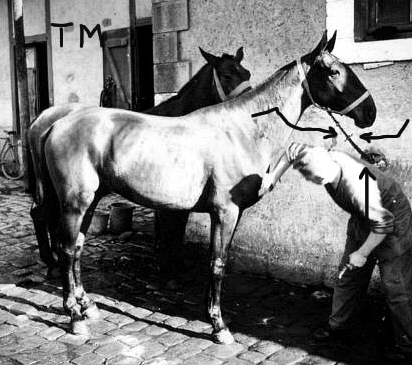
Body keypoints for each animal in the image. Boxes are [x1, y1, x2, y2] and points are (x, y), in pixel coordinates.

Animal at [29, 47, 251, 276]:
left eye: (247, 73)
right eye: (227, 75)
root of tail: (43, 119)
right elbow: (172, 234)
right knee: (41, 214)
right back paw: (52, 262)